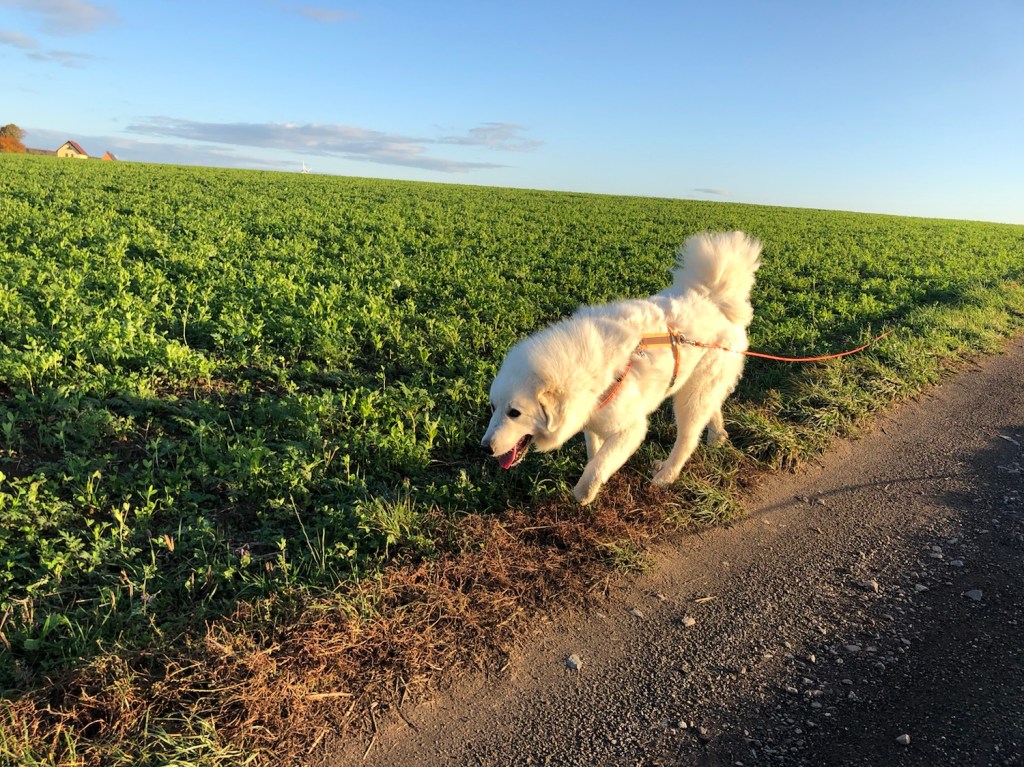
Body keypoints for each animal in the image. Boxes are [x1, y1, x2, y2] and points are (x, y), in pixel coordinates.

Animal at [481, 231, 762, 505]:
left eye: (515, 413)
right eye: (493, 407)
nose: (485, 448)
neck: (586, 374)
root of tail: (715, 297)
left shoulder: (631, 429)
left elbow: (599, 465)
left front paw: (584, 494)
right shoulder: (590, 419)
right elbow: (594, 452)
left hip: (691, 397)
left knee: (687, 438)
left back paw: (666, 475)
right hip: (699, 387)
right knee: (712, 408)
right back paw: (717, 437)